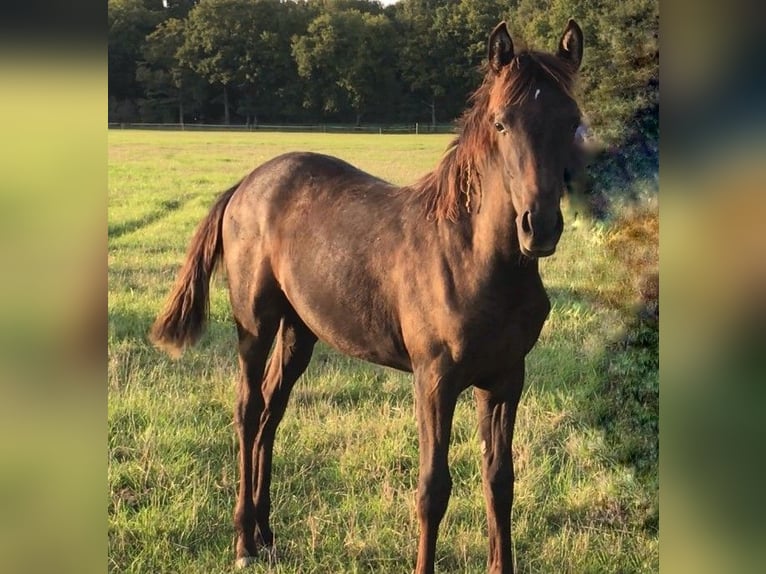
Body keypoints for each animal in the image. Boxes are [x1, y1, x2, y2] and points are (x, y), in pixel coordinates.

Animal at [151, 19, 584, 574]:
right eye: (501, 123)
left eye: (572, 121)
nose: (540, 228)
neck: (473, 257)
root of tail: (246, 184)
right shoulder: (434, 380)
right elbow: (432, 489)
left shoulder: (506, 380)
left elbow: (500, 483)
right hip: (255, 322)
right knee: (248, 411)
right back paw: (244, 541)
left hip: (300, 330)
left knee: (272, 411)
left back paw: (268, 536)